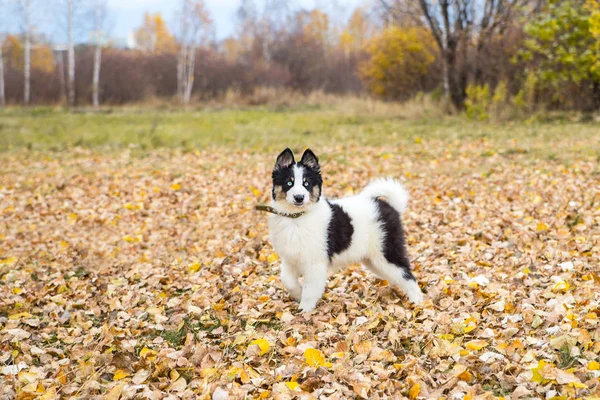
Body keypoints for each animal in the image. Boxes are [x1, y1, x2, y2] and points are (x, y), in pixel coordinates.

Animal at [270, 148, 424, 312]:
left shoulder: (315, 263)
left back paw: (417, 303)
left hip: (386, 251)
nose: (299, 197)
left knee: (407, 276)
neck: (296, 218)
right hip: (373, 260)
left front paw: (305, 310)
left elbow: (310, 290)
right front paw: (298, 294)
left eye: (306, 184)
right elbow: (287, 280)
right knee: (396, 276)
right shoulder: (290, 258)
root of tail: (391, 207)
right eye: (289, 183)